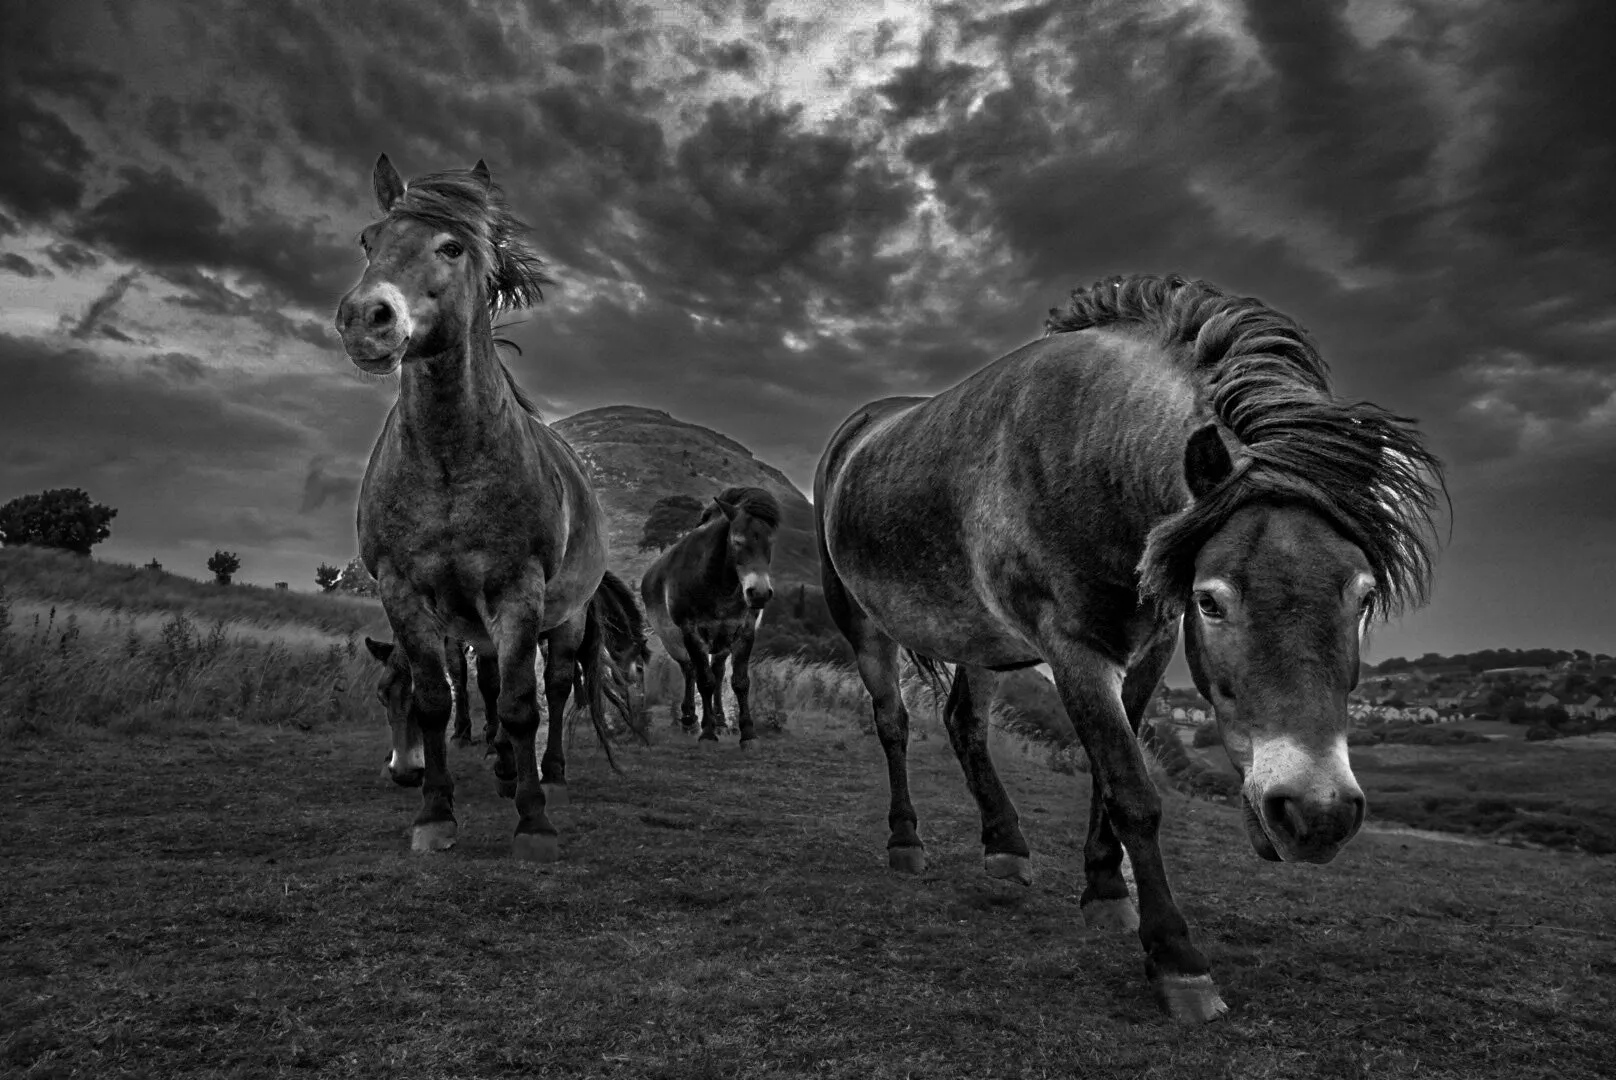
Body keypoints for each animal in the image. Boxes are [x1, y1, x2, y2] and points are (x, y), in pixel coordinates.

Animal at [335, 154, 609, 862]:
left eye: (451, 247)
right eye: (368, 240)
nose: (365, 318)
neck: (449, 462)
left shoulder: (519, 591)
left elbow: (521, 705)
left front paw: (534, 823)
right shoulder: (404, 592)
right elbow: (439, 699)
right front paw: (435, 814)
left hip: (563, 619)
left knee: (557, 687)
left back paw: (549, 772)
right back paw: (508, 768)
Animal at [641, 486, 780, 746]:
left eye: (770, 543)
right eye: (737, 541)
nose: (759, 593)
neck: (718, 584)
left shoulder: (744, 632)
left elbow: (739, 682)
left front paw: (747, 733)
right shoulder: (691, 633)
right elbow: (704, 682)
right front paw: (706, 733)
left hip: (722, 642)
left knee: (717, 671)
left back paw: (721, 720)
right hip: (675, 642)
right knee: (690, 671)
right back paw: (689, 720)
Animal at [814, 273, 1445, 1023]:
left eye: (1364, 595)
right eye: (1211, 600)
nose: (1316, 814)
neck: (1093, 455)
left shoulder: (1148, 648)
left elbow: (1105, 776)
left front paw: (1105, 889)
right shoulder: (1074, 650)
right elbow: (1131, 791)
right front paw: (1175, 958)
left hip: (981, 639)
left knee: (964, 723)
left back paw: (1005, 847)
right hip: (863, 625)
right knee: (894, 724)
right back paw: (906, 841)